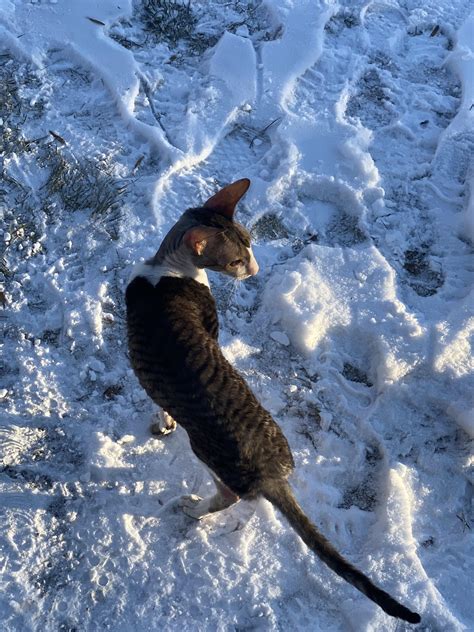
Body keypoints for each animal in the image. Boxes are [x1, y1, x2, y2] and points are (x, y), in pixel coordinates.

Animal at [125, 179, 418, 628]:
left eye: (250, 246)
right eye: (236, 258)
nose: (257, 271)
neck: (167, 269)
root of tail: (273, 471)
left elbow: (159, 400)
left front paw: (163, 420)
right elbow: (159, 400)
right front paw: (164, 421)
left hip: (211, 456)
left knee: (229, 497)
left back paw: (194, 508)